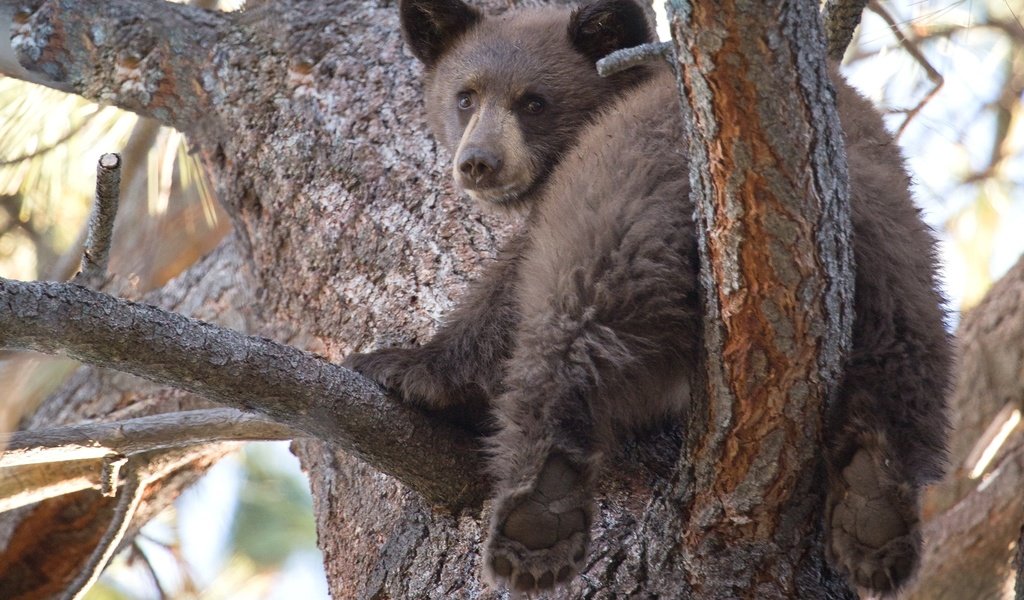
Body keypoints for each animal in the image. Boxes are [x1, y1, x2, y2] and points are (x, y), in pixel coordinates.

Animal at [348, 0, 954, 589]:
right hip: (898, 246)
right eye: (465, 96)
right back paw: (874, 506)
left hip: (619, 204)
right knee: (907, 354)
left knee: (569, 327)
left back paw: (537, 512)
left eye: (534, 102)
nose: (478, 163)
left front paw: (407, 365)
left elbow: (509, 284)